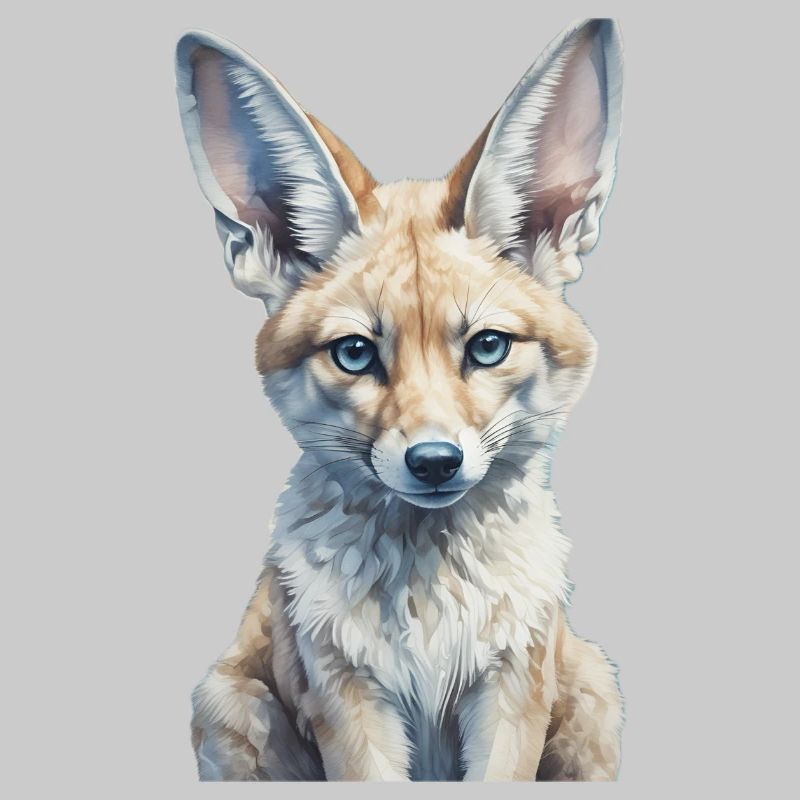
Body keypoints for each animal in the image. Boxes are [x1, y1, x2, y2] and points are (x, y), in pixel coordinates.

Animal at [175, 17, 624, 781]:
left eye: (487, 346)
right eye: (356, 353)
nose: (435, 461)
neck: (430, 606)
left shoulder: (512, 690)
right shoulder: (347, 699)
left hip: (595, 694)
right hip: (227, 706)